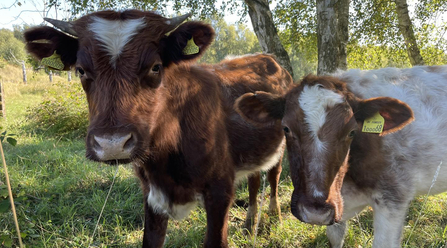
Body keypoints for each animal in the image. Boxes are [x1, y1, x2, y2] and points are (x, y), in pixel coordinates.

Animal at [23, 9, 294, 248]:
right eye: (80, 70)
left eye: (155, 67)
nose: (112, 144)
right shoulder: (151, 194)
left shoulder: (220, 190)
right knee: (254, 179)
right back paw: (250, 223)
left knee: (273, 175)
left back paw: (275, 217)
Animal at [236, 66, 447, 248]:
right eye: (286, 128)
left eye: (352, 132)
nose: (314, 212)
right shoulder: (336, 206)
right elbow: (335, 237)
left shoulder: (393, 198)